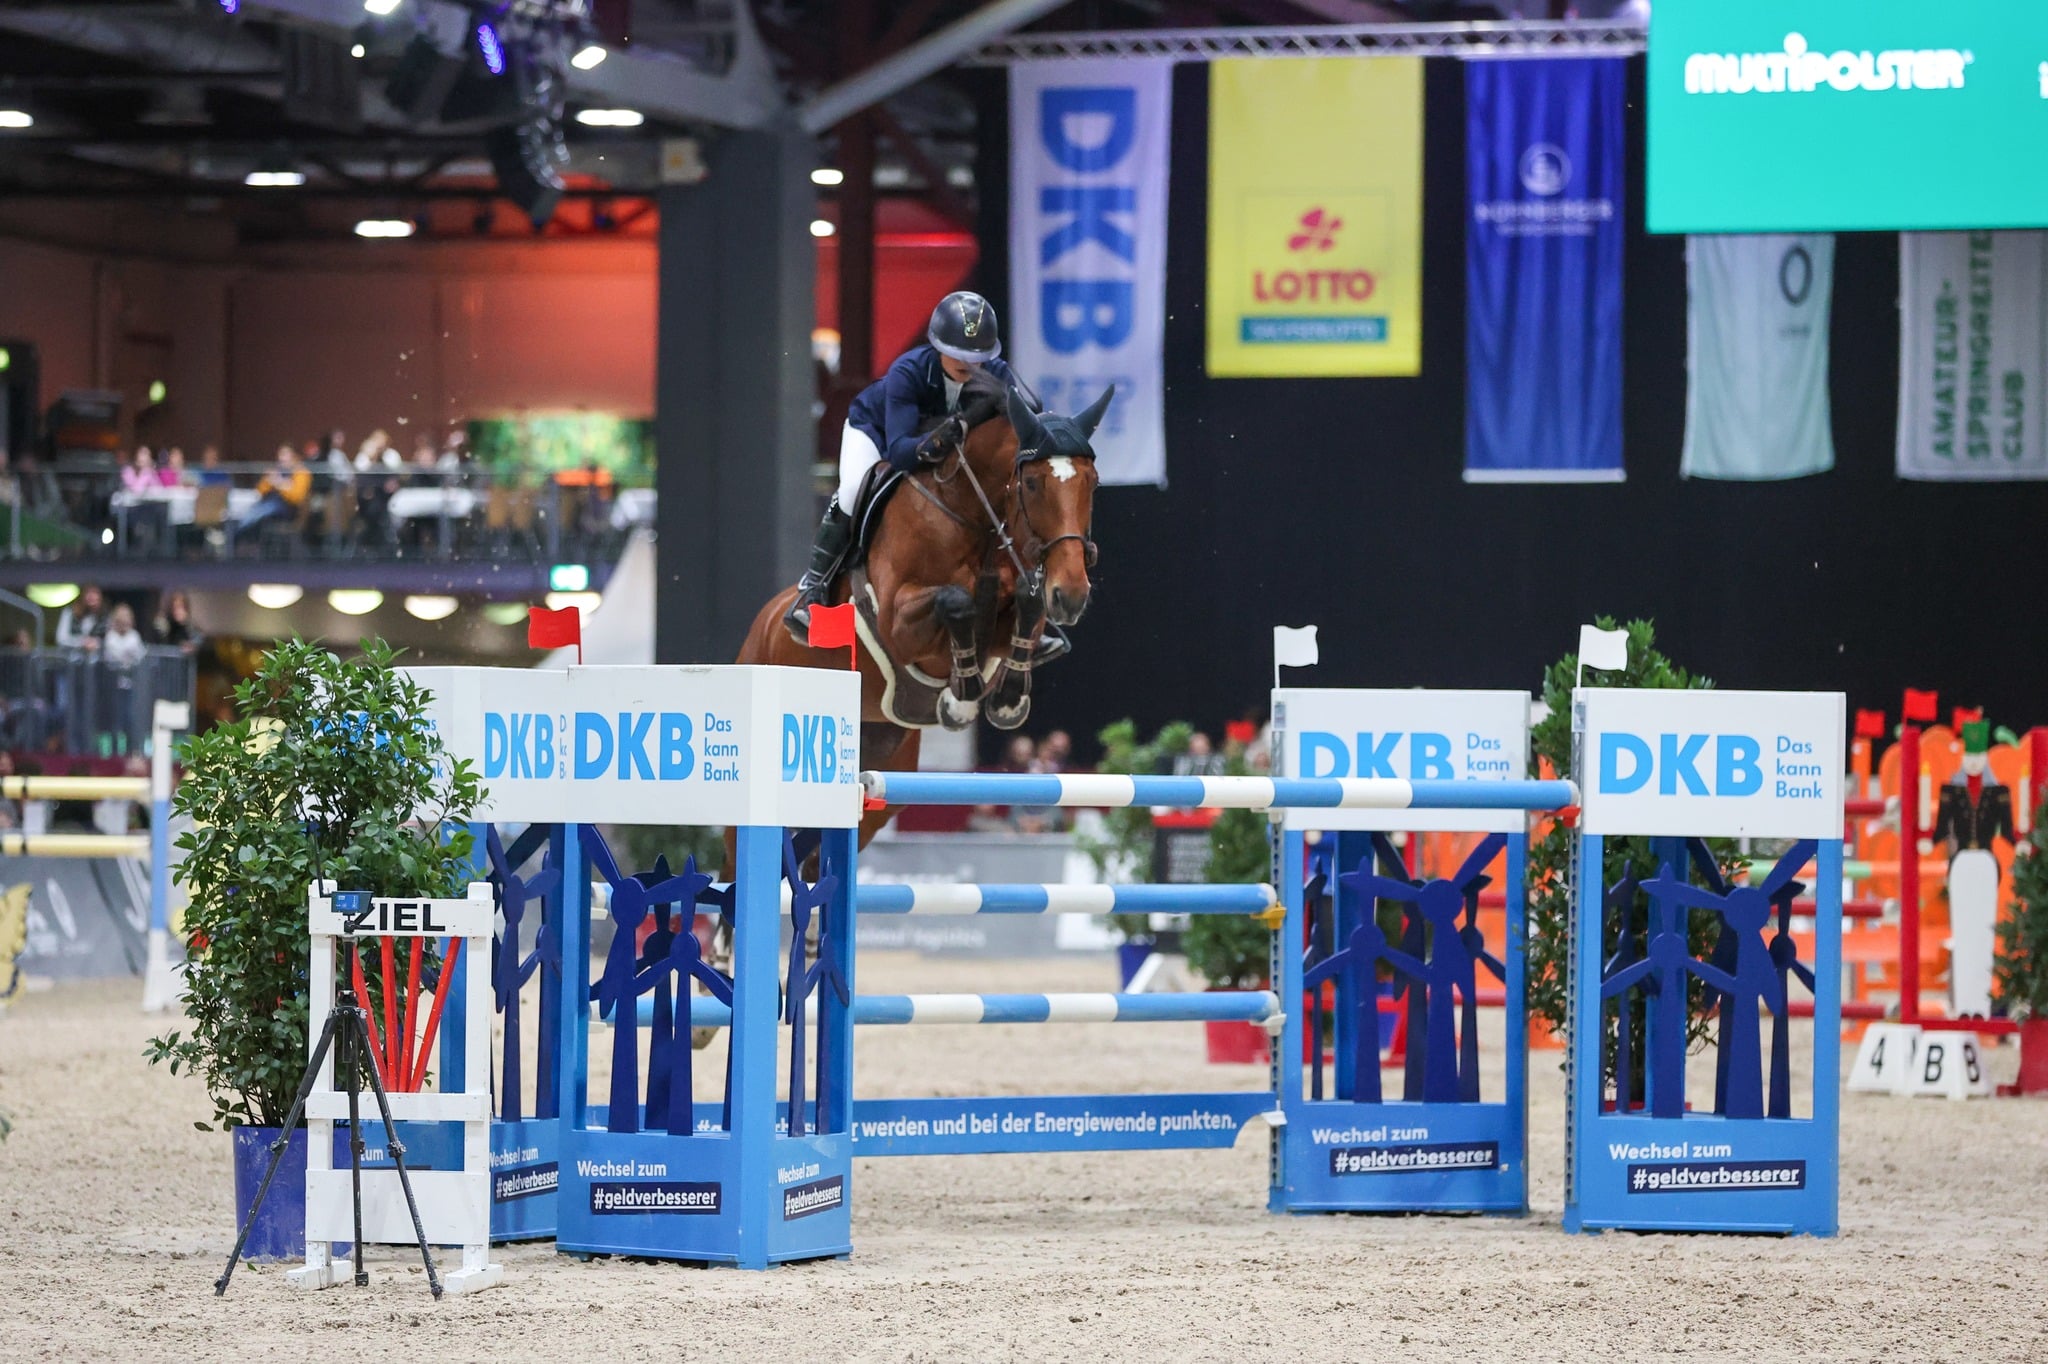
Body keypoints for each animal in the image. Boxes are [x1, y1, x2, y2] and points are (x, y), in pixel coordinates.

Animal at [737, 382, 1114, 843]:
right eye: (1031, 482)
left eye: (1092, 482)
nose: (1073, 594)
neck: (974, 516)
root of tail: (763, 623)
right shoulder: (898, 624)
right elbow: (955, 601)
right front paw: (961, 697)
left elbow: (1029, 602)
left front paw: (1008, 698)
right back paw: (806, 608)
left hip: (877, 771)